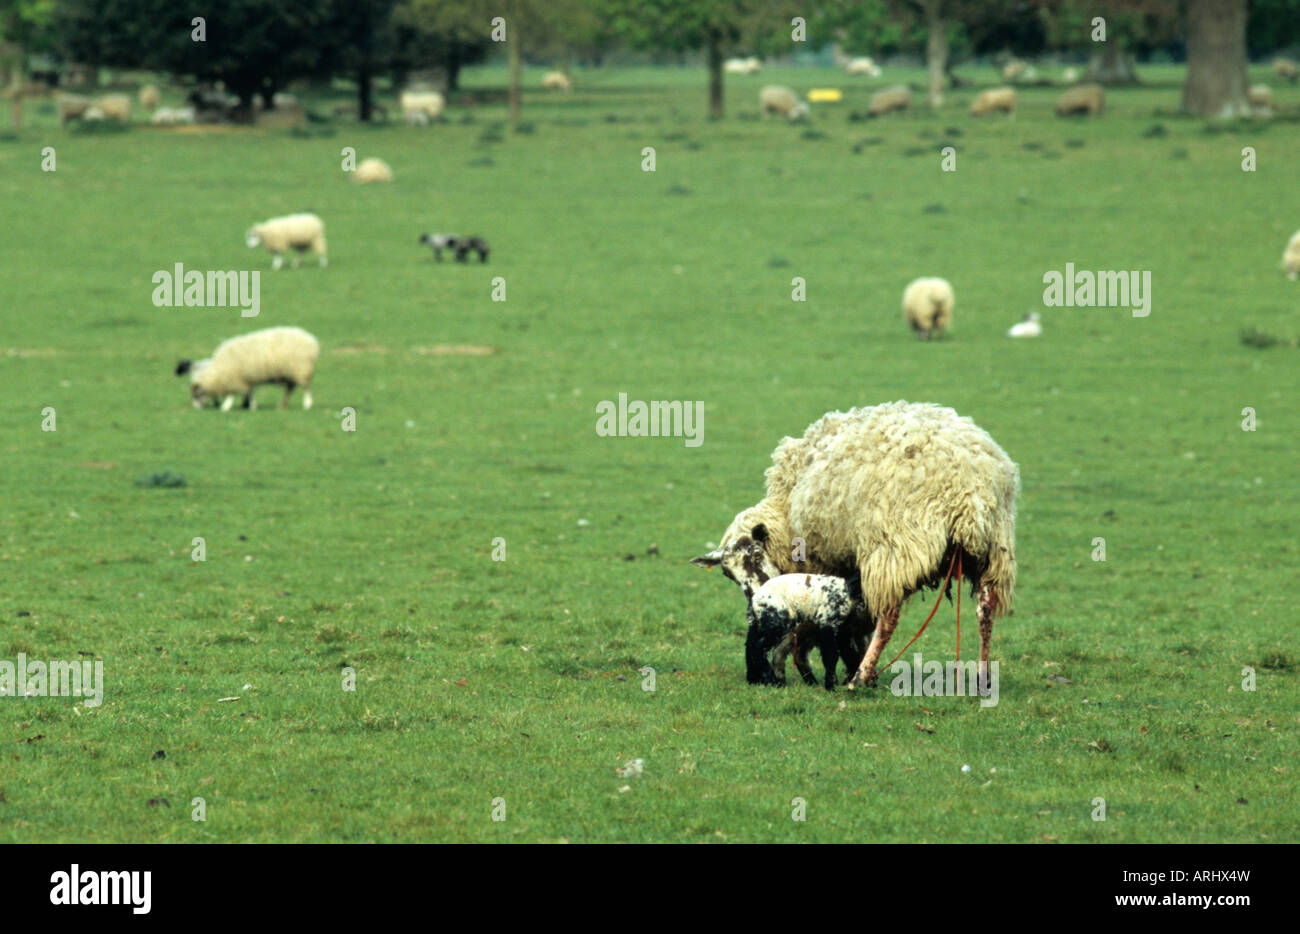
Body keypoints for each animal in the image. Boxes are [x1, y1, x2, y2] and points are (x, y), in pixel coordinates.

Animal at [175, 327, 319, 411]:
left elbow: (232, 393)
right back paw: (282, 405)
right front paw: (252, 405)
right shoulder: (246, 379)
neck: (217, 371)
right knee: (289, 389)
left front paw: (226, 406)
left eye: (196, 395)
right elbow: (249, 392)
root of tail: (312, 341)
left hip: (301, 370)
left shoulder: (234, 378)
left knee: (306, 388)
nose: (196, 409)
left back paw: (307, 404)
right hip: (290, 374)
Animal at [743, 574, 873, 692]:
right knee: (758, 648)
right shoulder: (828, 622)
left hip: (758, 623)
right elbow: (831, 656)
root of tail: (754, 599)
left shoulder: (843, 630)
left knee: (750, 645)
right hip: (776, 621)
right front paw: (830, 687)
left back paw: (754, 680)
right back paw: (771, 681)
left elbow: (850, 654)